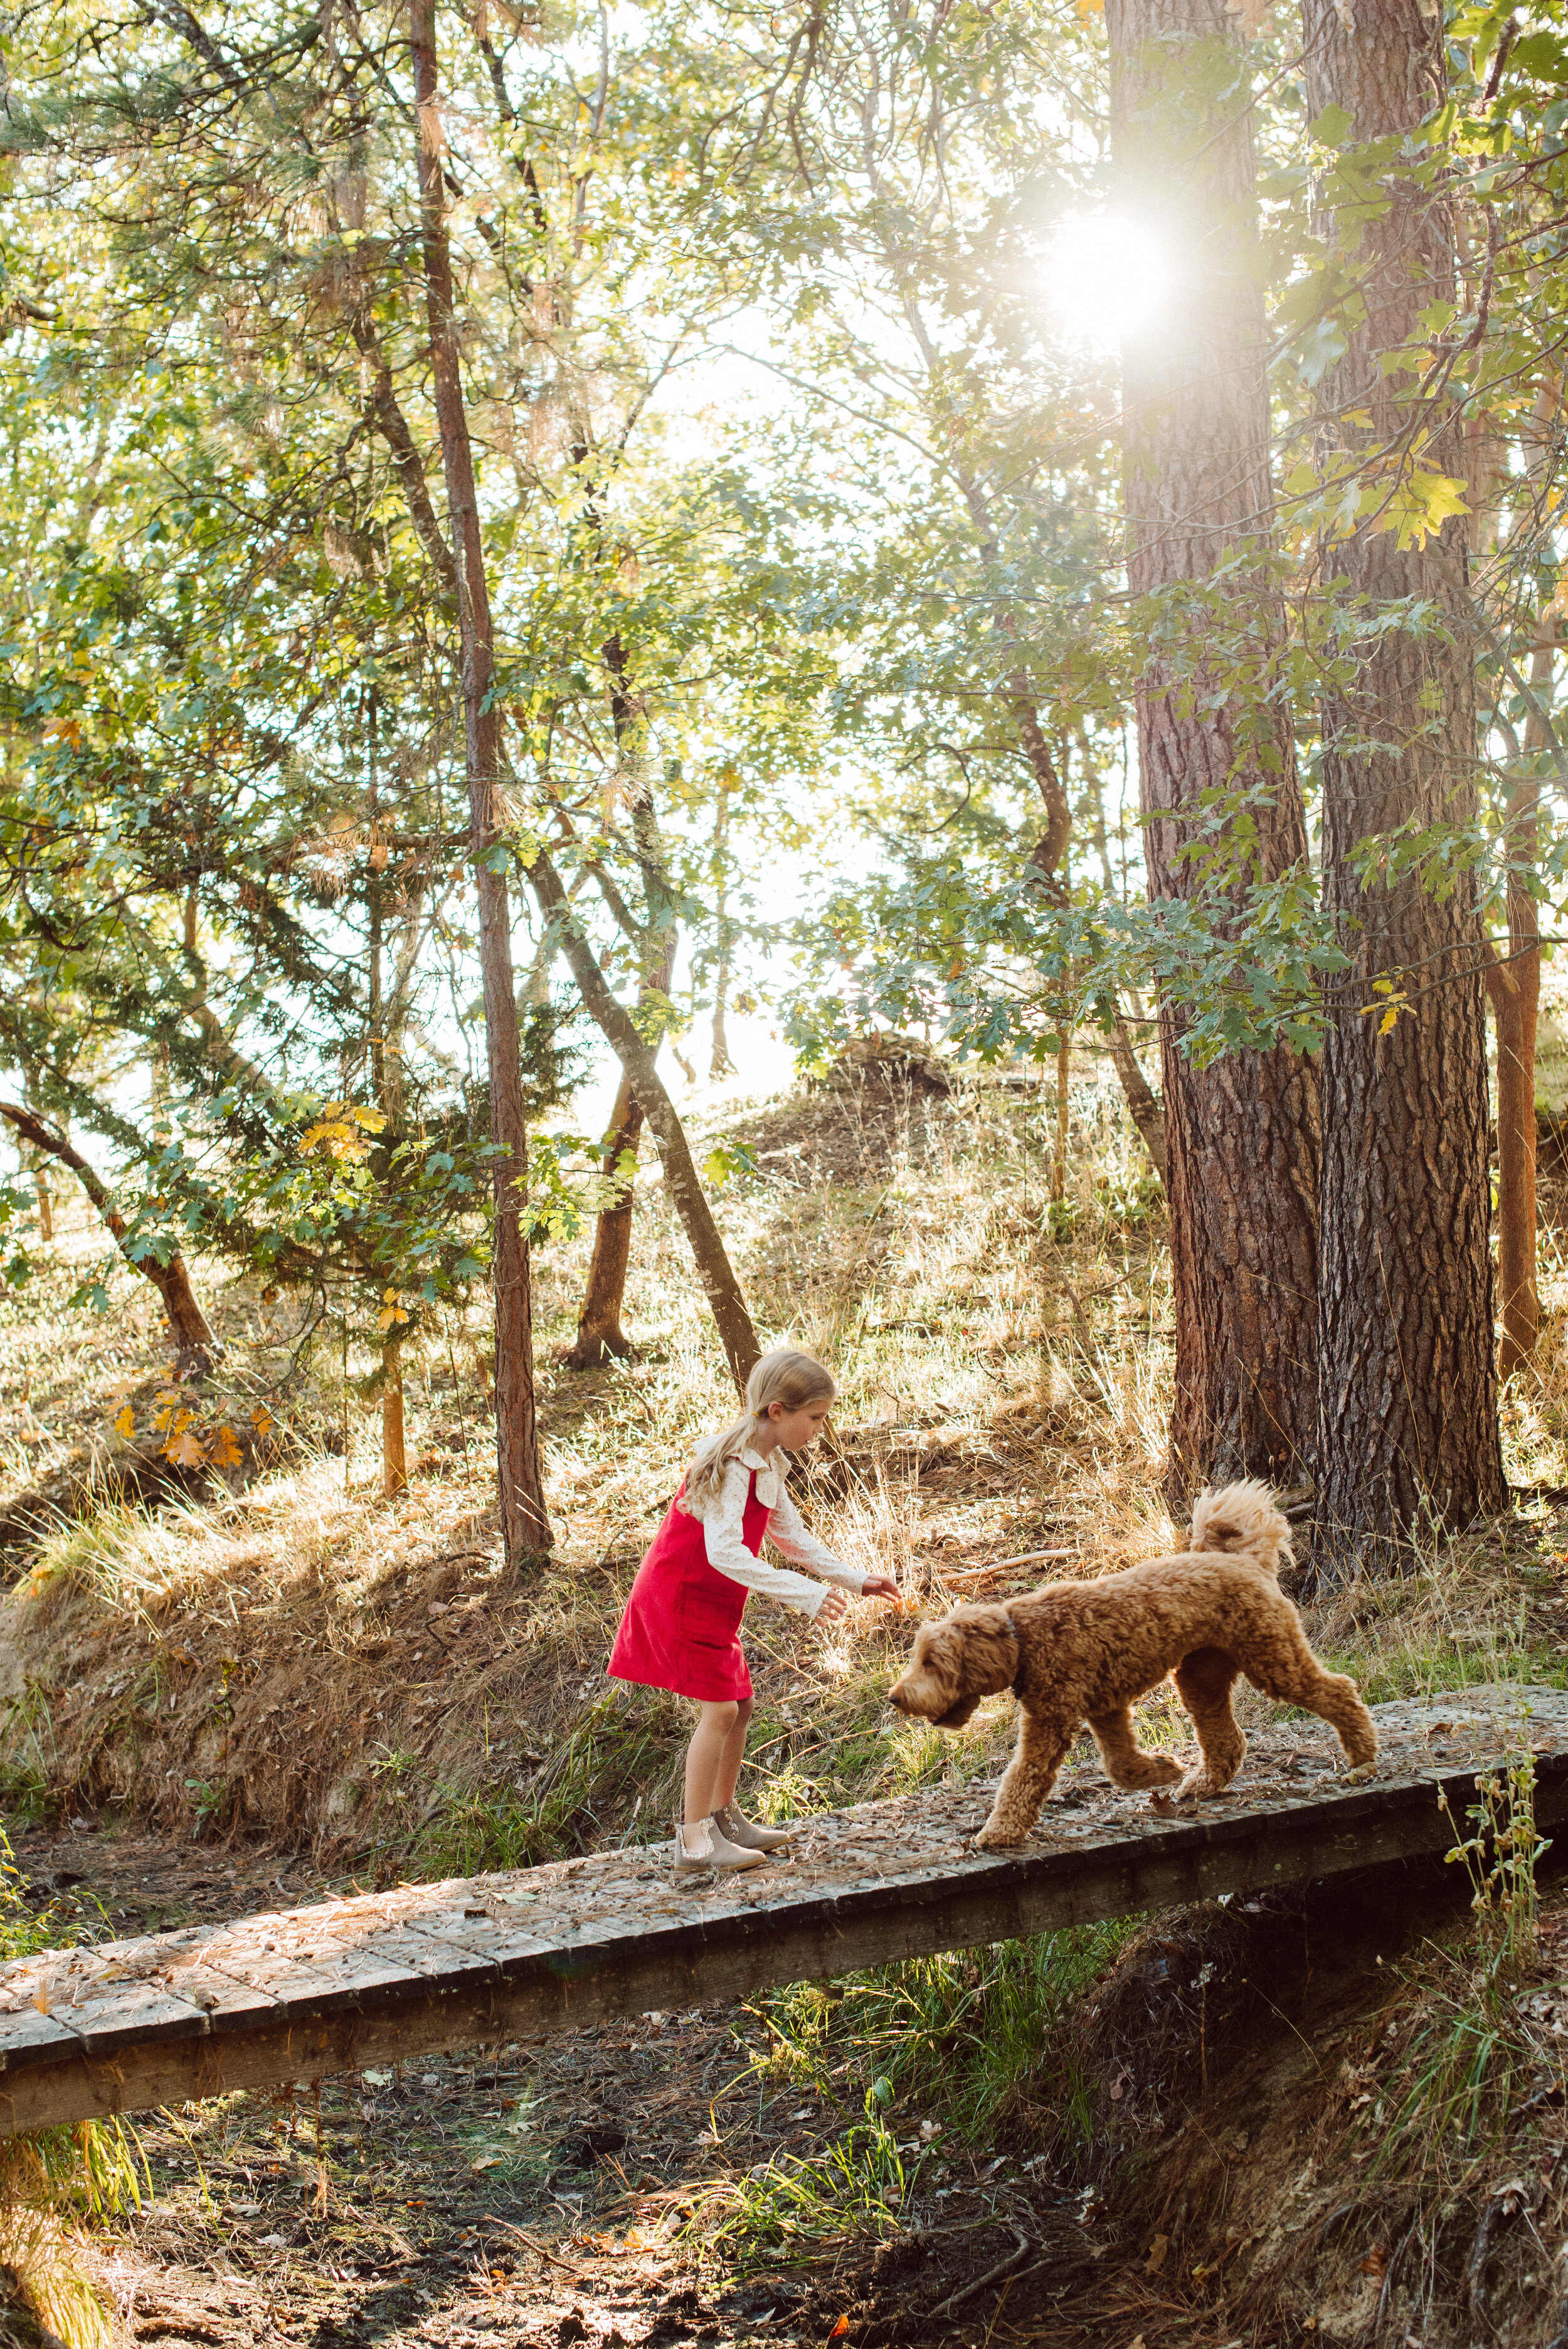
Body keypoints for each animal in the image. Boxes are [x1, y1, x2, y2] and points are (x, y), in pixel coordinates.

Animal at [887, 1484, 1380, 1851]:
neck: (1023, 1639)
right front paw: (1162, 1769)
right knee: (1227, 1738)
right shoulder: (1105, 1709)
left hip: (1273, 1659)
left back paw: (1363, 1758)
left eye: (932, 1662)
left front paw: (997, 1833)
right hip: (1201, 1676)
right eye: (918, 1659)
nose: (895, 1698)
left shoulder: (1051, 1720)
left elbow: (1023, 1780)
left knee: (1339, 1690)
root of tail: (1243, 1561)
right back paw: (1201, 1784)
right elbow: (1120, 1766)